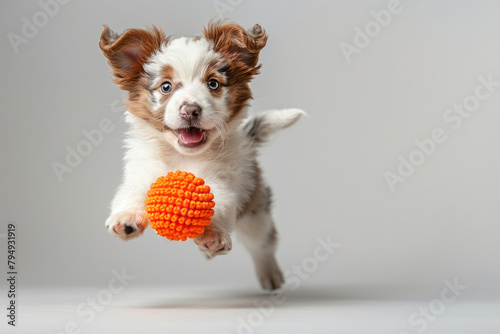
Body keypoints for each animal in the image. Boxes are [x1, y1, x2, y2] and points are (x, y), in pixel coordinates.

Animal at [99, 20, 304, 290]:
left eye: (213, 84)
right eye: (166, 87)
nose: (190, 110)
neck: (183, 157)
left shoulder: (224, 181)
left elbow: (218, 203)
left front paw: (214, 234)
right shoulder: (141, 171)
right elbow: (130, 193)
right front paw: (126, 218)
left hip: (255, 211)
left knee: (263, 243)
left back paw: (269, 274)